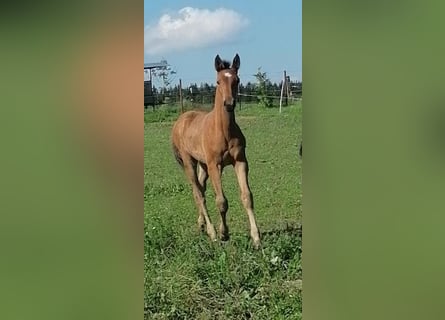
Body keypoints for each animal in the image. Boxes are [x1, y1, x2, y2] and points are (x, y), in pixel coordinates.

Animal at [170, 53, 260, 248]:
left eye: (237, 80)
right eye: (218, 81)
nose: (229, 104)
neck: (223, 131)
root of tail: (181, 120)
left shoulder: (240, 162)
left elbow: (247, 197)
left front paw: (256, 238)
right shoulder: (215, 165)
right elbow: (221, 201)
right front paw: (223, 233)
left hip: (202, 164)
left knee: (200, 189)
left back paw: (202, 224)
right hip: (189, 162)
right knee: (198, 194)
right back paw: (211, 232)